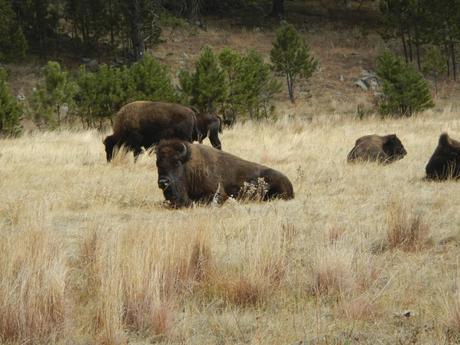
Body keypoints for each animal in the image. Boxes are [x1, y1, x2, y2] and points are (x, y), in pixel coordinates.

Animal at [155, 138, 294, 207]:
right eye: (158, 164)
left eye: (176, 163)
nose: (163, 181)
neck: (188, 165)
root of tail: (290, 184)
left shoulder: (218, 193)